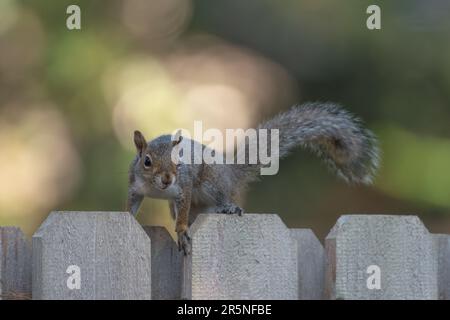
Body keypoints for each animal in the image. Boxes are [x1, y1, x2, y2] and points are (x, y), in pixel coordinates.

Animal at [126, 102, 380, 255]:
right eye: (147, 161)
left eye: (179, 162)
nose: (168, 179)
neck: (156, 188)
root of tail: (230, 172)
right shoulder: (136, 187)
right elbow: (132, 206)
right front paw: (128, 216)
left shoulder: (184, 185)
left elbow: (182, 214)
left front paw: (181, 232)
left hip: (211, 183)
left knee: (221, 198)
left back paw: (227, 208)